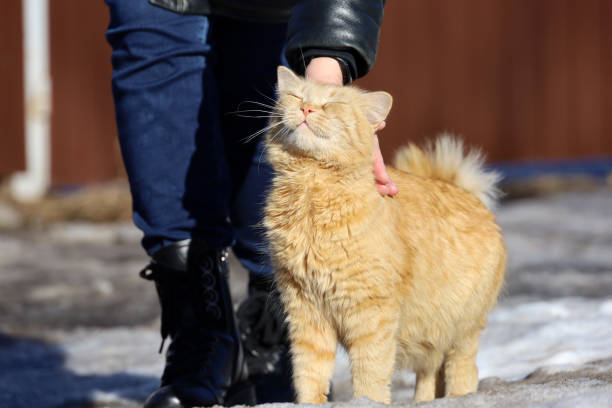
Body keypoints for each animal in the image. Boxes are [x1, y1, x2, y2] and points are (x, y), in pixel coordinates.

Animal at [262, 65, 506, 404]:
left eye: (332, 103)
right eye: (297, 97)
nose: (307, 109)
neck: (311, 190)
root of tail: (459, 187)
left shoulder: (371, 313)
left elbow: (370, 375)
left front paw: (366, 403)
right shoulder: (306, 311)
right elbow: (309, 374)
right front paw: (309, 405)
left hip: (463, 333)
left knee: (464, 371)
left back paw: (459, 399)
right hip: (430, 338)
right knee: (429, 375)